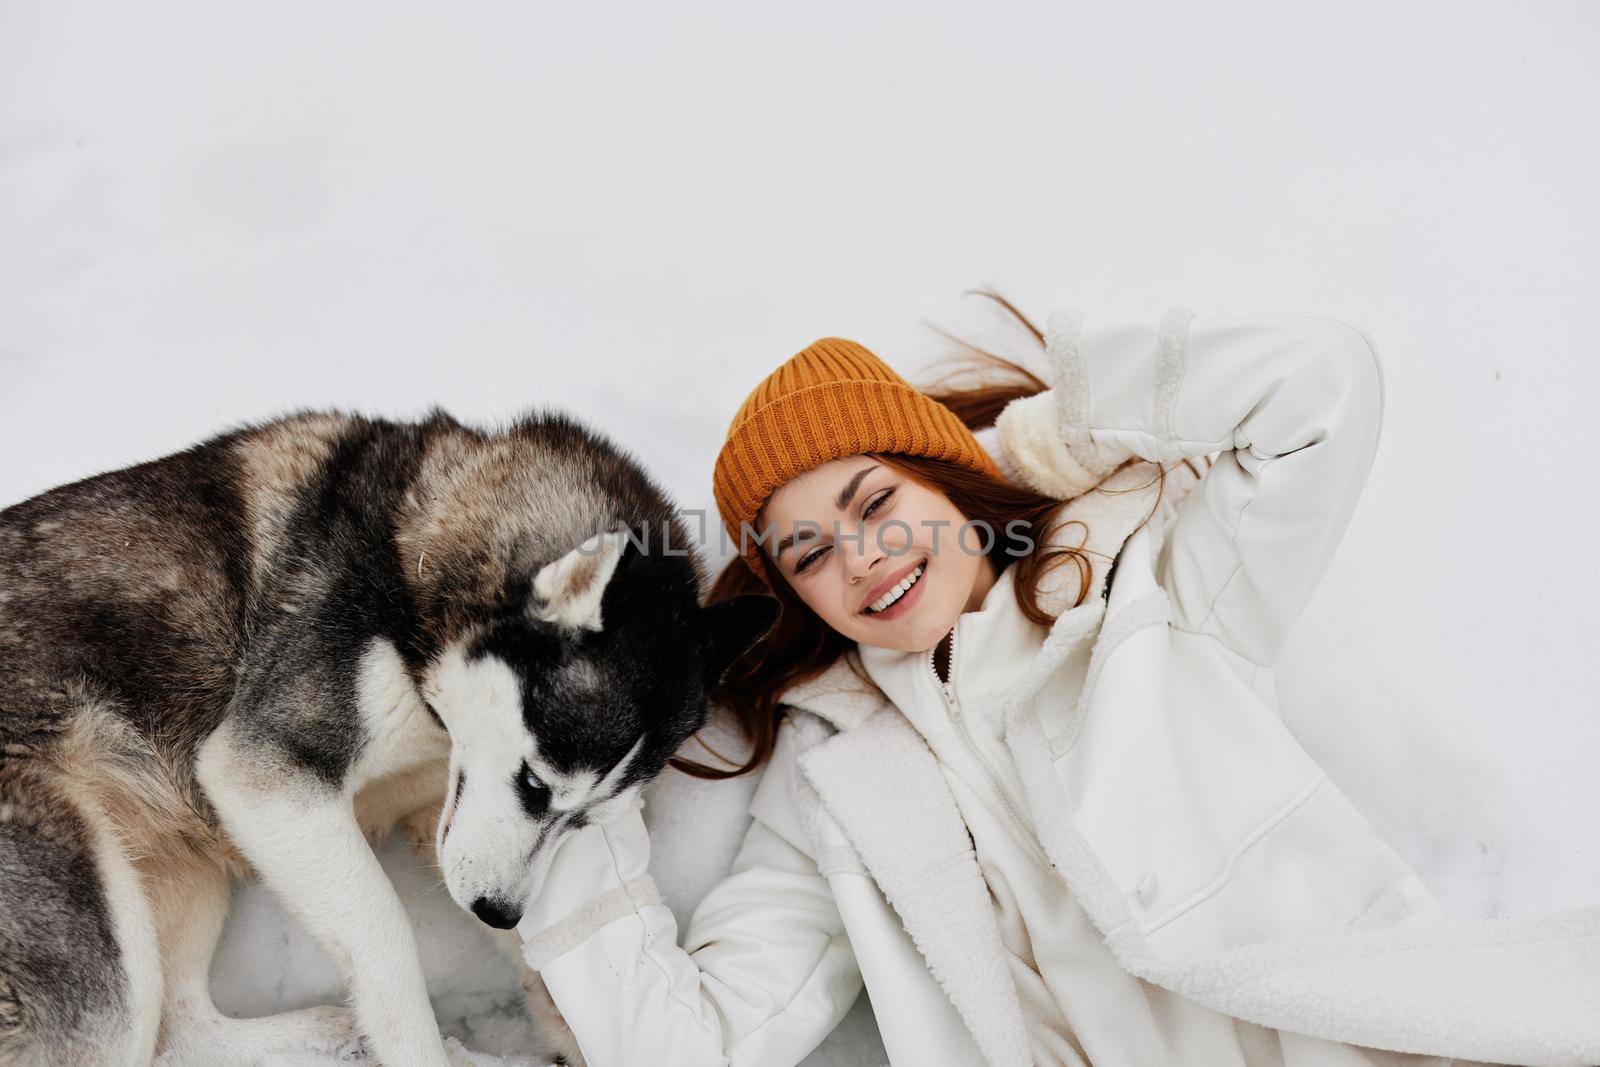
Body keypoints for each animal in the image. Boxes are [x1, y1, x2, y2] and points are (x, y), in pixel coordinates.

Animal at [0, 409, 780, 1067]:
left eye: (588, 818)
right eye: (536, 783)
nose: (498, 909)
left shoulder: (441, 816)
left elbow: (544, 959)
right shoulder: (266, 770)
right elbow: (385, 937)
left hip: (180, 866)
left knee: (184, 1027)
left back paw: (335, 1035)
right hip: (101, 954)